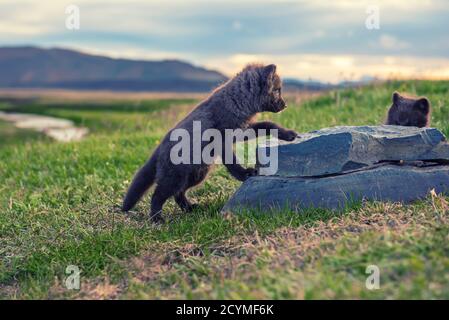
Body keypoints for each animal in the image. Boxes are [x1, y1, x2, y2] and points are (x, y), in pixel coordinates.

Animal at [122, 62, 298, 222]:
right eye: (277, 90)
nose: (285, 105)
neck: (236, 101)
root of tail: (158, 149)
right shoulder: (222, 140)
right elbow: (232, 162)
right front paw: (244, 174)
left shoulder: (241, 131)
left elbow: (268, 124)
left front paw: (287, 134)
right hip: (175, 177)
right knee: (158, 194)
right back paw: (156, 218)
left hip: (197, 175)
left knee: (179, 193)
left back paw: (189, 209)